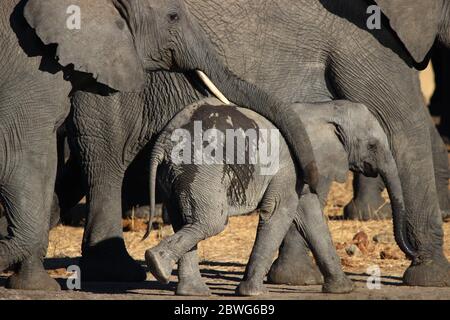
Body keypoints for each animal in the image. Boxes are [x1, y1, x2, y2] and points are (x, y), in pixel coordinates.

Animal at [146, 98, 410, 298]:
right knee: (211, 222)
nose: (411, 252)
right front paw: (251, 293)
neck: (320, 109)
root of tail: (162, 143)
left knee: (185, 220)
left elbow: (311, 215)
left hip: (177, 174)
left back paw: (189, 289)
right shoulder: (289, 165)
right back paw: (157, 264)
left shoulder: (301, 171)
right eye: (372, 145)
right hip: (201, 167)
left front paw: (343, 289)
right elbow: (279, 211)